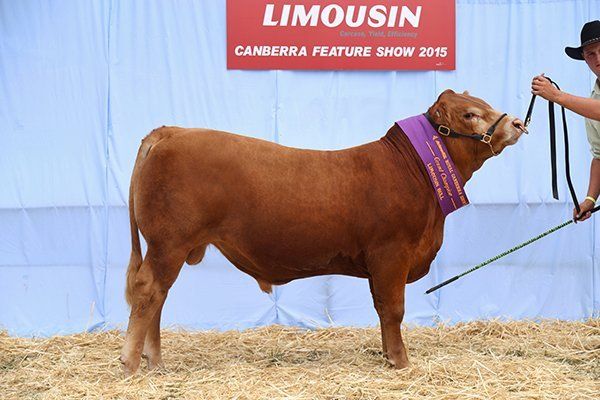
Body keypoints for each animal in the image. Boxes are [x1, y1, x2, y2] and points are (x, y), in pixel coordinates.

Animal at [120, 90, 524, 376]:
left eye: (483, 104)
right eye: (470, 114)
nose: (517, 123)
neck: (414, 172)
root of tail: (170, 132)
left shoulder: (380, 265)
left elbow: (381, 308)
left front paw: (387, 356)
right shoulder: (391, 253)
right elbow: (394, 309)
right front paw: (401, 361)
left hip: (166, 247)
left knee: (158, 296)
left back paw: (155, 361)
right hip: (168, 243)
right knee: (149, 292)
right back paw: (132, 363)